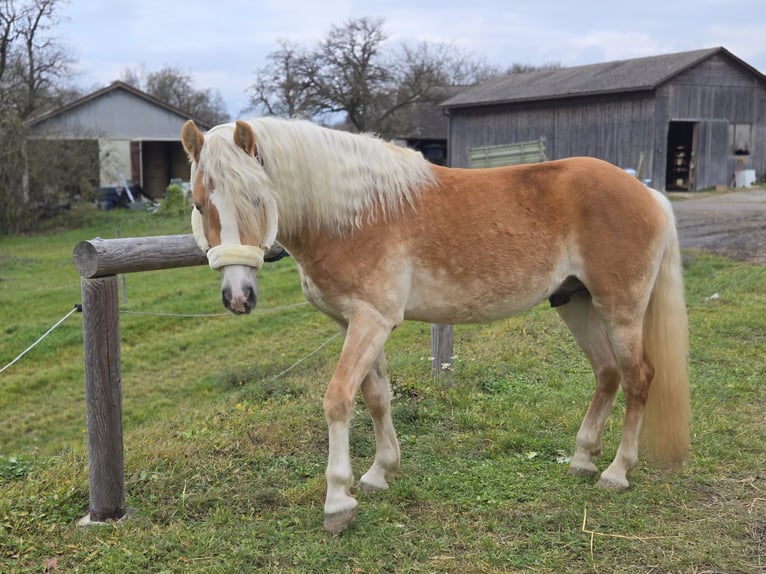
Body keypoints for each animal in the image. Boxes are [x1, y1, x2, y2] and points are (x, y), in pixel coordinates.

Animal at [183, 116, 692, 536]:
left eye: (257, 198)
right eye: (200, 203)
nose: (238, 297)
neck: (353, 214)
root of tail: (647, 193)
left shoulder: (371, 320)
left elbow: (338, 399)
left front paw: (337, 502)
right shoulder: (358, 322)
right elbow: (376, 396)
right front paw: (380, 473)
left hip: (621, 309)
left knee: (638, 378)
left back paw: (617, 472)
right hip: (575, 304)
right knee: (607, 374)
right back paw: (583, 459)